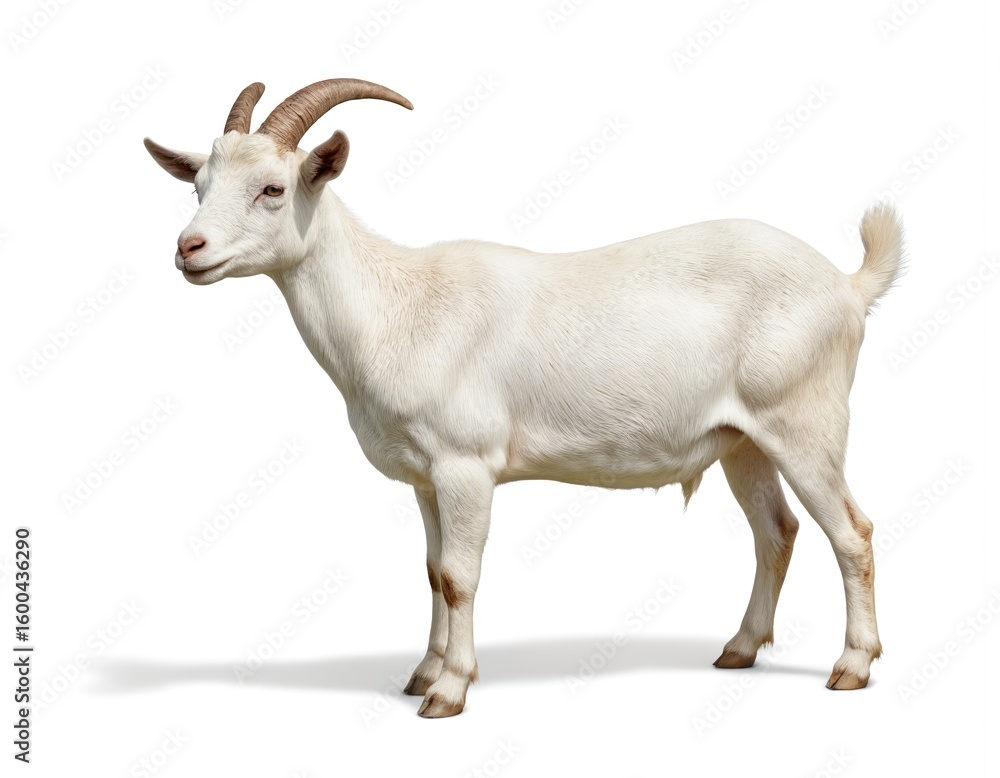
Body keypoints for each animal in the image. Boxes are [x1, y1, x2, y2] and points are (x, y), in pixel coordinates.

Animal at [145, 78, 903, 718]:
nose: (189, 248)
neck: (397, 307)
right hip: (743, 439)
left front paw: (448, 691)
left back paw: (852, 666)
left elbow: (459, 575)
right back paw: (740, 649)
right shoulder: (426, 477)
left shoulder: (465, 465)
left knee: (852, 533)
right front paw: (421, 673)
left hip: (804, 421)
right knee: (777, 531)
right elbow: (431, 571)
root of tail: (847, 285)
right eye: (198, 186)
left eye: (272, 188)